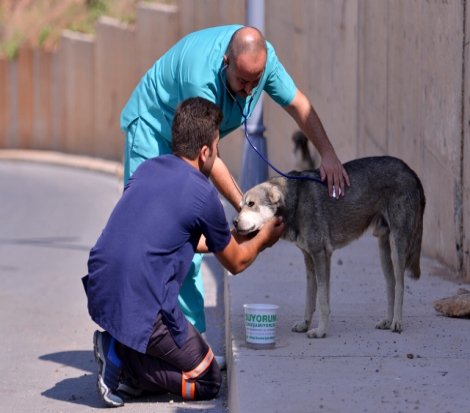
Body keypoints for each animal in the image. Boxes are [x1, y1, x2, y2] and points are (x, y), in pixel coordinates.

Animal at [235, 156, 426, 336]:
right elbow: (311, 298)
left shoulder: (320, 255)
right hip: (384, 252)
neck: (295, 201)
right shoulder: (310, 259)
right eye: (240, 206)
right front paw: (305, 324)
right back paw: (388, 320)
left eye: (251, 204)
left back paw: (397, 322)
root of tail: (411, 172)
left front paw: (320, 331)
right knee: (391, 285)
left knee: (400, 285)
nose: (234, 222)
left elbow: (322, 301)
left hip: (397, 247)